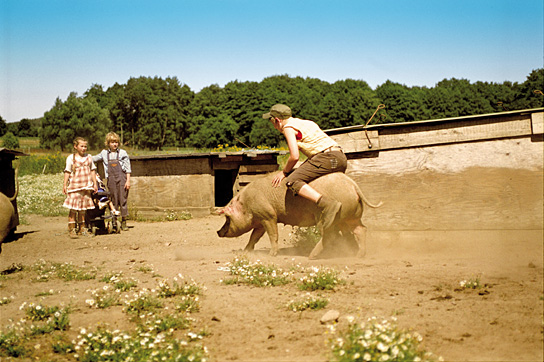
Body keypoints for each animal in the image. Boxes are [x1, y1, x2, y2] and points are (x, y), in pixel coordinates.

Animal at [215, 172, 380, 258]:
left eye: (227, 218)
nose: (218, 231)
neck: (246, 204)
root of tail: (352, 185)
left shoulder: (268, 215)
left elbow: (272, 234)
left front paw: (271, 255)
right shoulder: (261, 220)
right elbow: (254, 237)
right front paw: (246, 251)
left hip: (325, 218)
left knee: (331, 235)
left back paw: (312, 256)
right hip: (350, 217)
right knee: (360, 230)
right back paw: (358, 255)